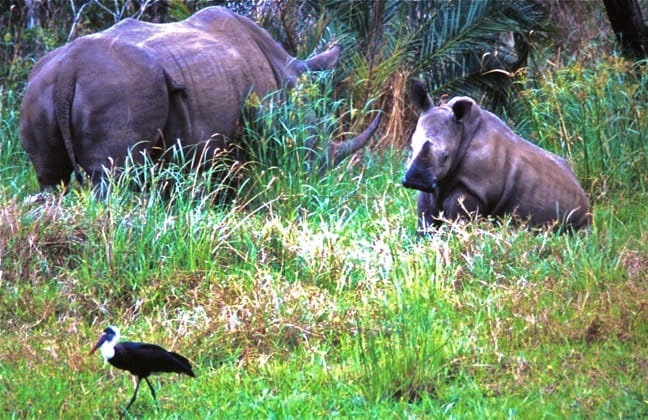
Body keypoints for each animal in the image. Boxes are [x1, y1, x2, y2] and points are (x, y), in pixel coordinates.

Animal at [19, 6, 380, 194]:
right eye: (316, 149)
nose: (316, 178)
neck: (286, 72)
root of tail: (69, 68)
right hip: (120, 88)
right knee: (113, 178)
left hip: (38, 89)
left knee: (50, 177)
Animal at [402, 80, 588, 231]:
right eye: (410, 148)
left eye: (446, 156)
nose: (416, 180)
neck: (462, 131)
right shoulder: (434, 183)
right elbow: (426, 218)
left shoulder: (474, 186)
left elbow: (457, 221)